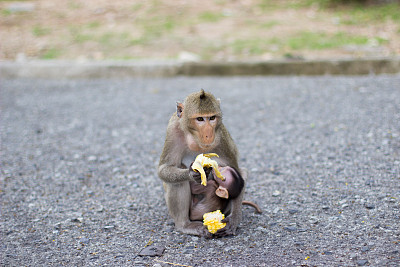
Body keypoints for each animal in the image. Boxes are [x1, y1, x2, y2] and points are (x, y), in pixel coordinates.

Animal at [158, 90, 245, 239]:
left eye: (212, 118)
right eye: (199, 119)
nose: (208, 135)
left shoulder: (221, 137)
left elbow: (237, 170)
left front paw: (233, 221)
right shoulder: (173, 130)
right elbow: (164, 168)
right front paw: (191, 174)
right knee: (177, 180)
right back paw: (184, 225)